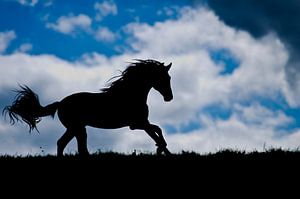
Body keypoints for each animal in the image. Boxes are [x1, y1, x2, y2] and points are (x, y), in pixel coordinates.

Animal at [3, 59, 173, 157]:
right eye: (163, 77)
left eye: (169, 77)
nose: (169, 98)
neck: (129, 95)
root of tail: (60, 103)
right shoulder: (138, 124)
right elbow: (156, 132)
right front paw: (163, 150)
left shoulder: (139, 124)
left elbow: (157, 130)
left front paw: (161, 149)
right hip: (75, 127)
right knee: (65, 144)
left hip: (78, 129)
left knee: (73, 146)